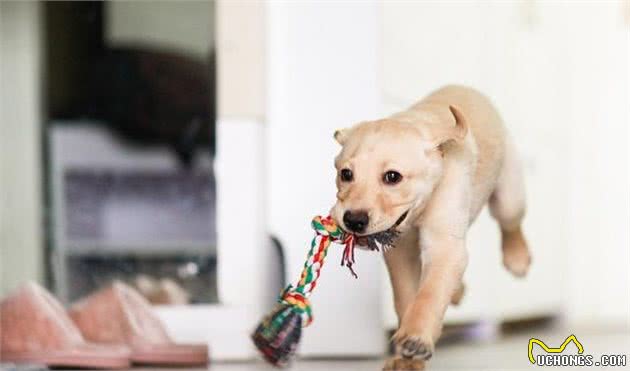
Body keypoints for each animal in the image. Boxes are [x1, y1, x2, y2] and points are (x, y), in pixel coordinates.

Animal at [334, 85, 532, 370]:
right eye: (346, 174)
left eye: (392, 177)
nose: (353, 220)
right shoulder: (400, 251)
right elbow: (408, 296)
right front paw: (406, 359)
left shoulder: (444, 245)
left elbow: (430, 293)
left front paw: (416, 337)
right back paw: (458, 291)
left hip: (509, 193)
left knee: (511, 223)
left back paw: (517, 257)